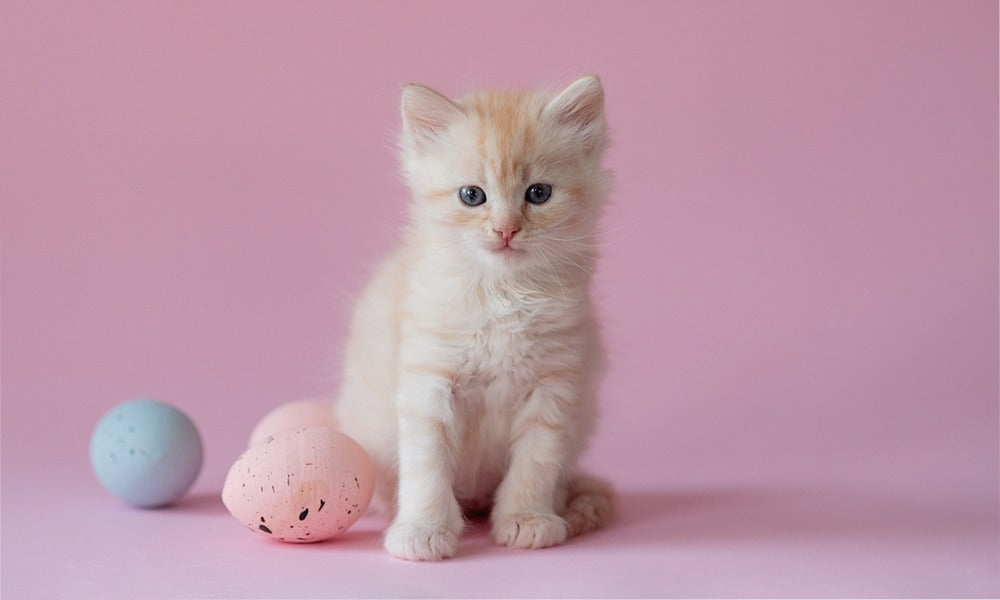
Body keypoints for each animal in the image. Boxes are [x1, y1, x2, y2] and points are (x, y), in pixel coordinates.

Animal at [336, 77, 612, 560]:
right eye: (472, 196)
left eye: (538, 193)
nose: (506, 230)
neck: (503, 294)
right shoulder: (428, 381)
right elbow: (427, 467)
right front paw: (424, 530)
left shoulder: (554, 387)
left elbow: (535, 463)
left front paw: (526, 519)